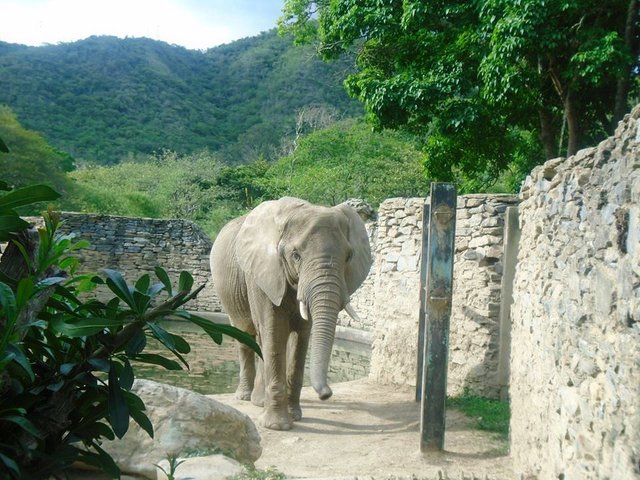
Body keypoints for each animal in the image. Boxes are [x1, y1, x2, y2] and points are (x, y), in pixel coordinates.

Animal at [211, 197, 370, 430]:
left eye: (348, 256)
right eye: (296, 255)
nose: (326, 394)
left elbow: (301, 335)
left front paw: (295, 416)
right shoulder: (264, 274)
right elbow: (275, 330)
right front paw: (277, 426)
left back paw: (259, 401)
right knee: (246, 334)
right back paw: (246, 398)